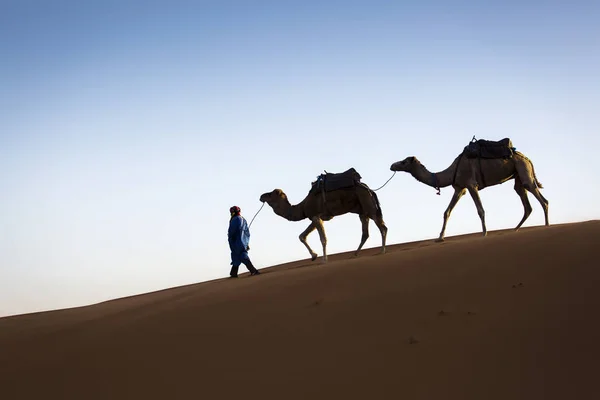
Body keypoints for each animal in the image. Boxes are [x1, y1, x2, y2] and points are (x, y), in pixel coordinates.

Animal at [258, 181, 390, 262]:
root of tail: (369, 189)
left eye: (270, 194)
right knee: (365, 233)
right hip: (363, 211)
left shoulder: (316, 217)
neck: (302, 207)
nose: (261, 196)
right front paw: (314, 256)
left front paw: (324, 259)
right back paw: (355, 253)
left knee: (382, 227)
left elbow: (323, 239)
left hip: (368, 204)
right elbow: (302, 236)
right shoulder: (316, 218)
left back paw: (382, 250)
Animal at [390, 147, 548, 241]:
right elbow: (447, 212)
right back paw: (515, 229)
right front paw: (440, 237)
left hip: (523, 169)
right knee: (526, 203)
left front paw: (484, 233)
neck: (451, 172)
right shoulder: (460, 189)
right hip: (518, 176)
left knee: (543, 200)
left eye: (404, 162)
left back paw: (546, 226)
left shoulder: (472, 185)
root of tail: (527, 158)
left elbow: (480, 210)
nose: (392, 165)